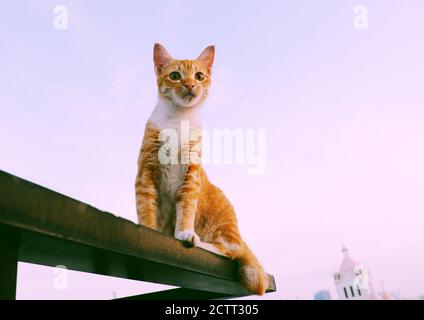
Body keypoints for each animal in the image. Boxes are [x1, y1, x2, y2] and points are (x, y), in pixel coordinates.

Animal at [136, 43, 268, 296]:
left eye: (199, 76)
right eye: (175, 76)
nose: (190, 85)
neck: (179, 120)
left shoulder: (191, 173)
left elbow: (187, 205)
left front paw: (184, 232)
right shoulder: (145, 169)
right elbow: (145, 204)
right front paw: (147, 229)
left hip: (223, 229)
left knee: (228, 251)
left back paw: (202, 242)